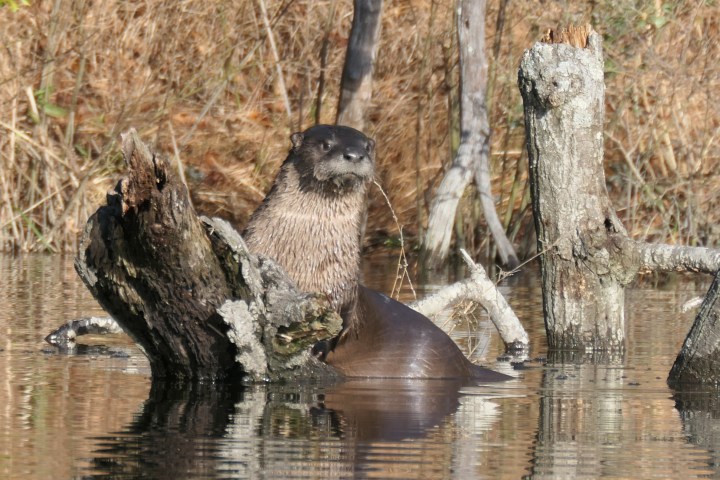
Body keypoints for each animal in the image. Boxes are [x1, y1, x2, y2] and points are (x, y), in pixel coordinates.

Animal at [243, 124, 510, 381]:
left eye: (367, 147)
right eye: (326, 144)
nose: (354, 155)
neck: (305, 258)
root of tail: (467, 366)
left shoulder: (342, 288)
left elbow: (340, 323)